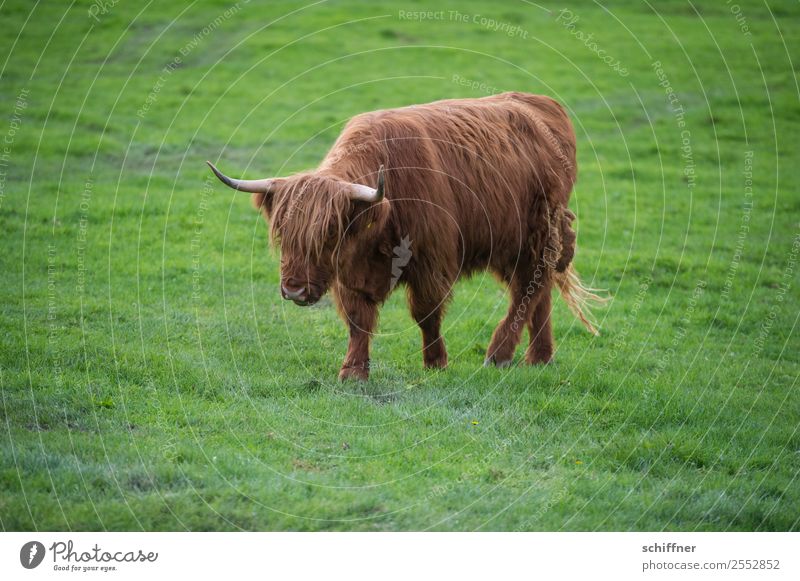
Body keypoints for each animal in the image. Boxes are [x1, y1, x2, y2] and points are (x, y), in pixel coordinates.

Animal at [206, 90, 600, 380]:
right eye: (281, 231)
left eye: (330, 232)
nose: (293, 290)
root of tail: (540, 103)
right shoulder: (350, 273)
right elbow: (358, 320)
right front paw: (353, 372)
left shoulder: (432, 260)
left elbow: (426, 313)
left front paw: (435, 362)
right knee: (539, 290)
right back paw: (540, 357)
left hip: (536, 234)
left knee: (528, 288)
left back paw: (499, 354)